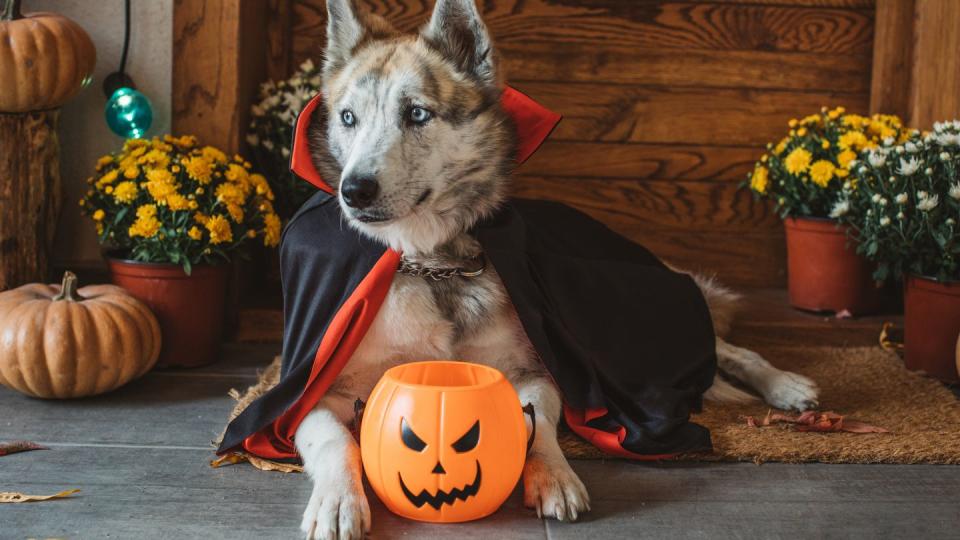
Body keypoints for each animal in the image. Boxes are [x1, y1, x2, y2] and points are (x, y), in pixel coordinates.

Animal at [296, 2, 820, 536]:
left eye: (417, 113)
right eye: (348, 118)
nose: (354, 191)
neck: (433, 266)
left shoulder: (536, 369)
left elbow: (537, 422)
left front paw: (554, 474)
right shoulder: (314, 391)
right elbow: (335, 440)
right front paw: (338, 500)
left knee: (725, 348)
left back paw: (785, 386)